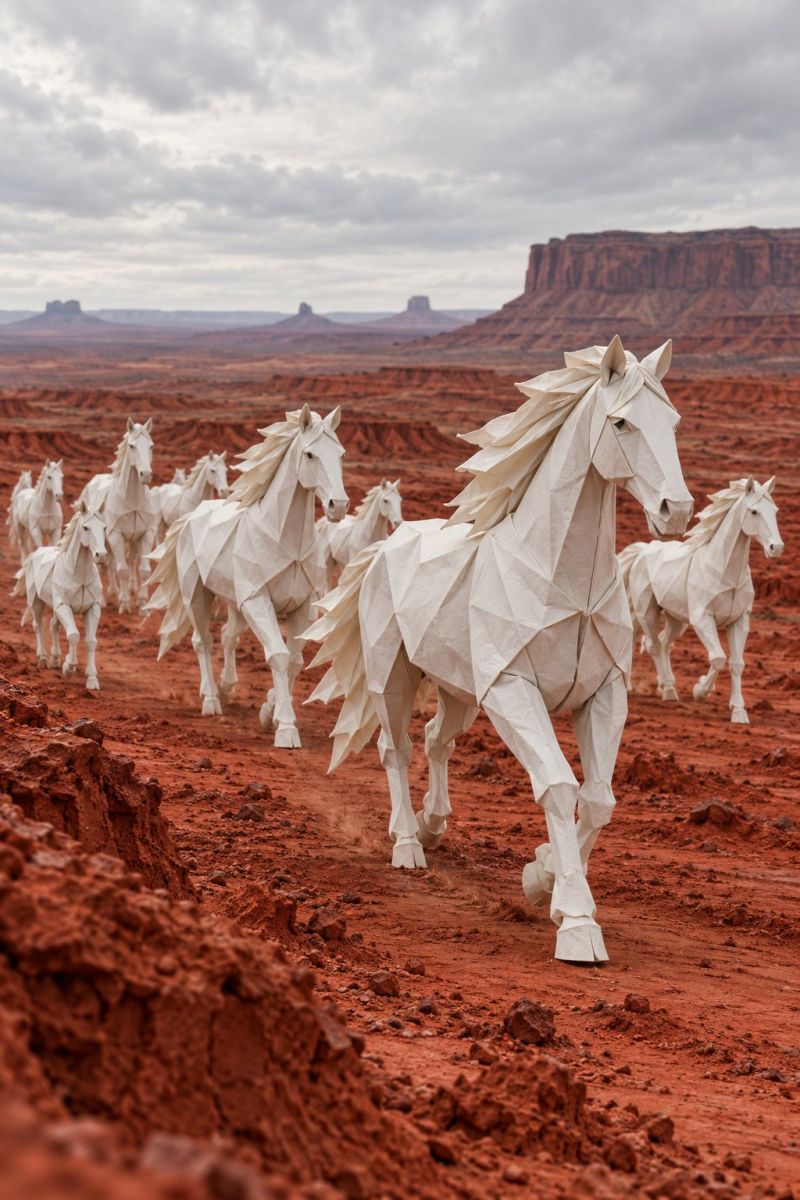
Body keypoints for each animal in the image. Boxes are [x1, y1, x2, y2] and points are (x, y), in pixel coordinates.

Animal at [14, 501, 107, 690]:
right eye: (86, 527)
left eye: (104, 528)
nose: (100, 555)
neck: (80, 576)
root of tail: (35, 553)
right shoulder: (64, 606)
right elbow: (73, 635)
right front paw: (68, 668)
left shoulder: (92, 609)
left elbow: (90, 641)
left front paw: (92, 679)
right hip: (36, 602)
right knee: (38, 625)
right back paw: (43, 658)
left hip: (55, 606)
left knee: (53, 625)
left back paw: (55, 659)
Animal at [79, 417, 156, 613]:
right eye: (132, 446)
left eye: (151, 446)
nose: (146, 474)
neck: (132, 500)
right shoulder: (116, 535)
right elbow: (122, 569)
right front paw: (124, 604)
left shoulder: (145, 534)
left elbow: (144, 570)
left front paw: (143, 603)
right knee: (105, 565)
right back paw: (104, 599)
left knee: (125, 561)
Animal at [146, 405, 348, 747]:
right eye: (309, 454)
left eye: (340, 454)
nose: (339, 506)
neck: (282, 538)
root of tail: (191, 517)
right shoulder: (256, 600)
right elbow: (278, 655)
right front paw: (285, 728)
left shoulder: (301, 607)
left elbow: (294, 661)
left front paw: (269, 711)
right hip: (197, 596)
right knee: (203, 641)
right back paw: (211, 700)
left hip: (233, 602)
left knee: (228, 636)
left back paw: (227, 688)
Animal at [306, 337, 693, 963]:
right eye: (621, 422)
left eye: (674, 421)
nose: (674, 510)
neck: (561, 578)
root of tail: (385, 547)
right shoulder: (513, 690)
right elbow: (559, 786)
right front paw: (577, 924)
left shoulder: (604, 694)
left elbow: (600, 799)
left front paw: (542, 879)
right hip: (394, 677)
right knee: (397, 749)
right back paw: (407, 843)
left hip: (460, 689)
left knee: (436, 741)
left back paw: (435, 825)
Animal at [619, 477, 783, 724]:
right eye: (754, 511)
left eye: (774, 510)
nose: (776, 548)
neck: (724, 572)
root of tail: (642, 551)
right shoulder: (702, 619)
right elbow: (718, 658)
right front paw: (700, 691)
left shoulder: (740, 621)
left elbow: (737, 663)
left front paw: (739, 711)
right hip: (646, 612)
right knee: (653, 645)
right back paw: (664, 690)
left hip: (676, 618)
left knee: (664, 643)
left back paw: (666, 686)